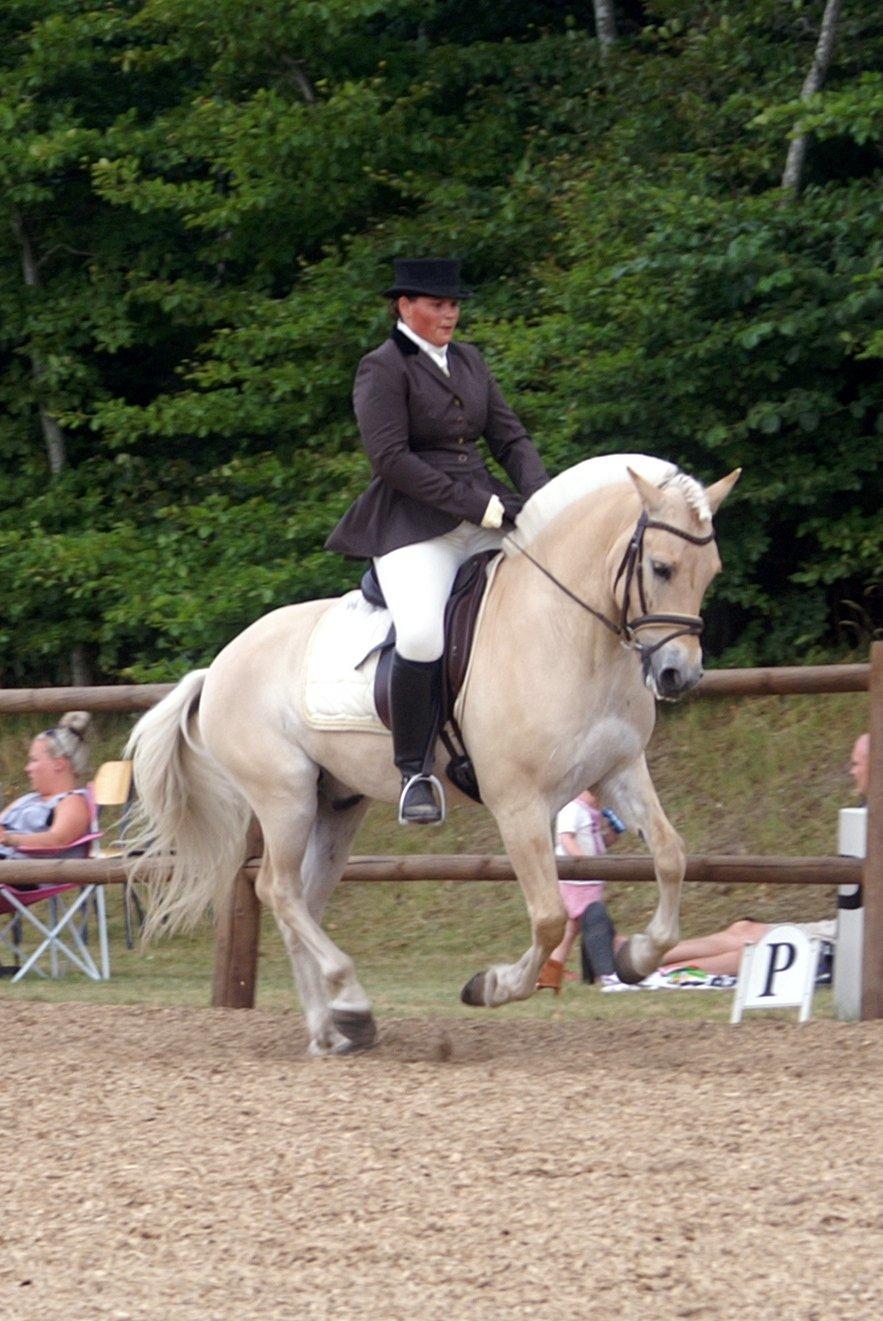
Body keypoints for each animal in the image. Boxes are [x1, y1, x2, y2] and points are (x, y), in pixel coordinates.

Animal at [127, 454, 740, 1051]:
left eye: (711, 572)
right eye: (661, 567)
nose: (679, 675)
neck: (567, 634)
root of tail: (218, 665)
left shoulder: (618, 771)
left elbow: (671, 855)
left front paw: (638, 956)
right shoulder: (518, 803)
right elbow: (547, 916)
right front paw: (492, 986)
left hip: (335, 805)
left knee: (301, 898)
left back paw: (333, 1029)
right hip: (284, 798)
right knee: (276, 889)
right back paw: (350, 1002)